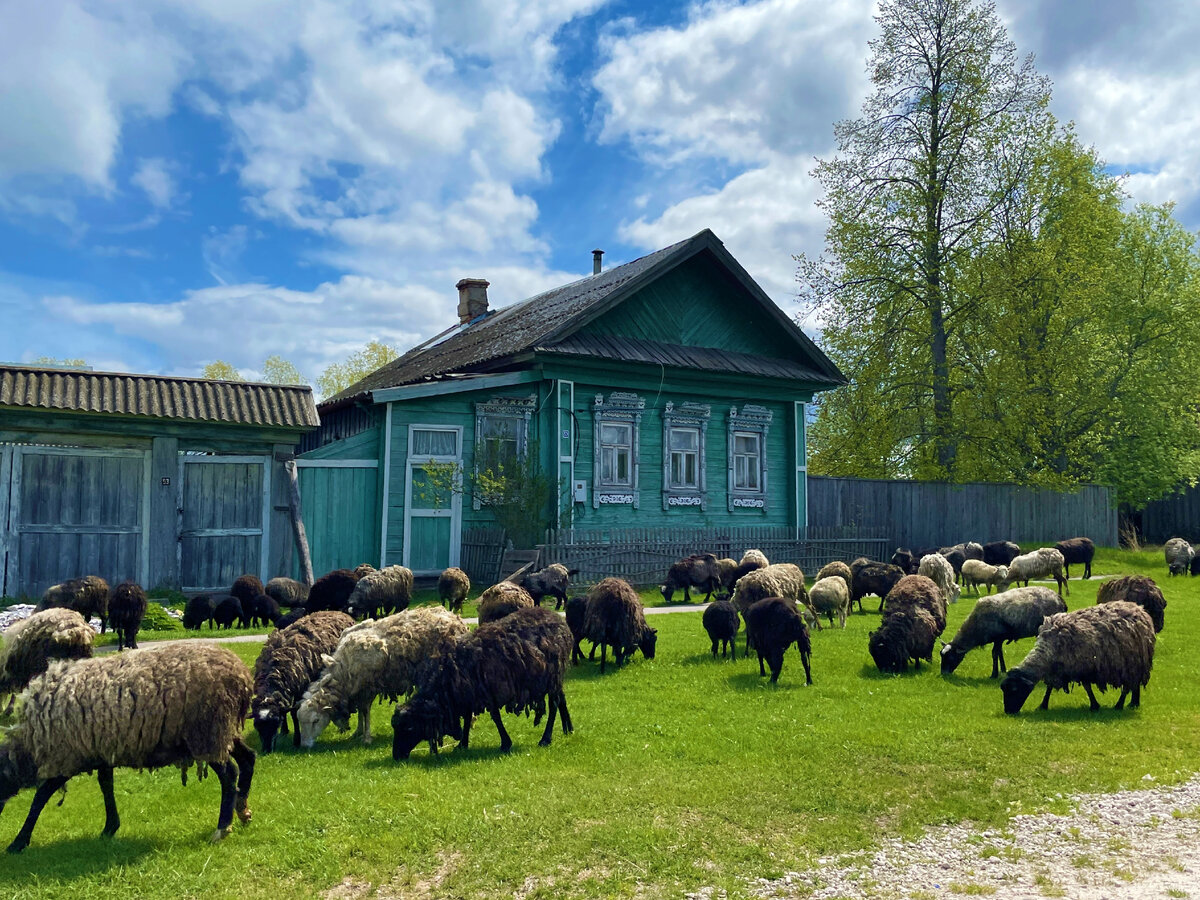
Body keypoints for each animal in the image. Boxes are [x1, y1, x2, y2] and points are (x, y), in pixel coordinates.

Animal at [0, 643, 253, 854]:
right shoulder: (100, 751)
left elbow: (40, 797)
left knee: (229, 773)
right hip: (223, 731)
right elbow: (106, 785)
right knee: (248, 758)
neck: (30, 744)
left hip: (206, 731)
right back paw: (242, 809)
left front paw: (18, 842)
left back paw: (223, 828)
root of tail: (242, 676)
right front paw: (110, 828)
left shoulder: (67, 756)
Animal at [248, 614, 350, 753]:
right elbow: (285, 711)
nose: (267, 750)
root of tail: (340, 613)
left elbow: (293, 713)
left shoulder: (299, 689)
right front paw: (284, 731)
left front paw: (296, 740)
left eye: (276, 722)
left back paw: (342, 728)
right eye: (256, 725)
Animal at [296, 609, 468, 748]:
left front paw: (366, 737)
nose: (304, 746)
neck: (343, 669)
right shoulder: (359, 689)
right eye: (300, 722)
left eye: (315, 721)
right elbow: (360, 711)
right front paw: (358, 732)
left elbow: (365, 710)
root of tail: (456, 619)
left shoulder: (368, 686)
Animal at [391, 607, 573, 763]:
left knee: (554, 704)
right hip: (554, 677)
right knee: (561, 698)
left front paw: (505, 743)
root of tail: (560, 620)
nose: (397, 756)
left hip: (552, 674)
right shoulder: (468, 694)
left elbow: (495, 717)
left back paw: (546, 738)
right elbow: (467, 718)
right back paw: (568, 728)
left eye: (409, 728)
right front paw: (462, 744)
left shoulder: (487, 691)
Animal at [998, 602, 1156, 715]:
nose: (1009, 712)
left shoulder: (1082, 666)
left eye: (1014, 690)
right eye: (1004, 689)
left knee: (1128, 686)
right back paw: (1133, 703)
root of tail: (1140, 609)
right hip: (1136, 662)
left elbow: (1087, 687)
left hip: (1131, 663)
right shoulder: (1058, 669)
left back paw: (1120, 705)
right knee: (1135, 685)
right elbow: (1049, 687)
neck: (1049, 649)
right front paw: (1043, 705)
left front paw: (1094, 705)